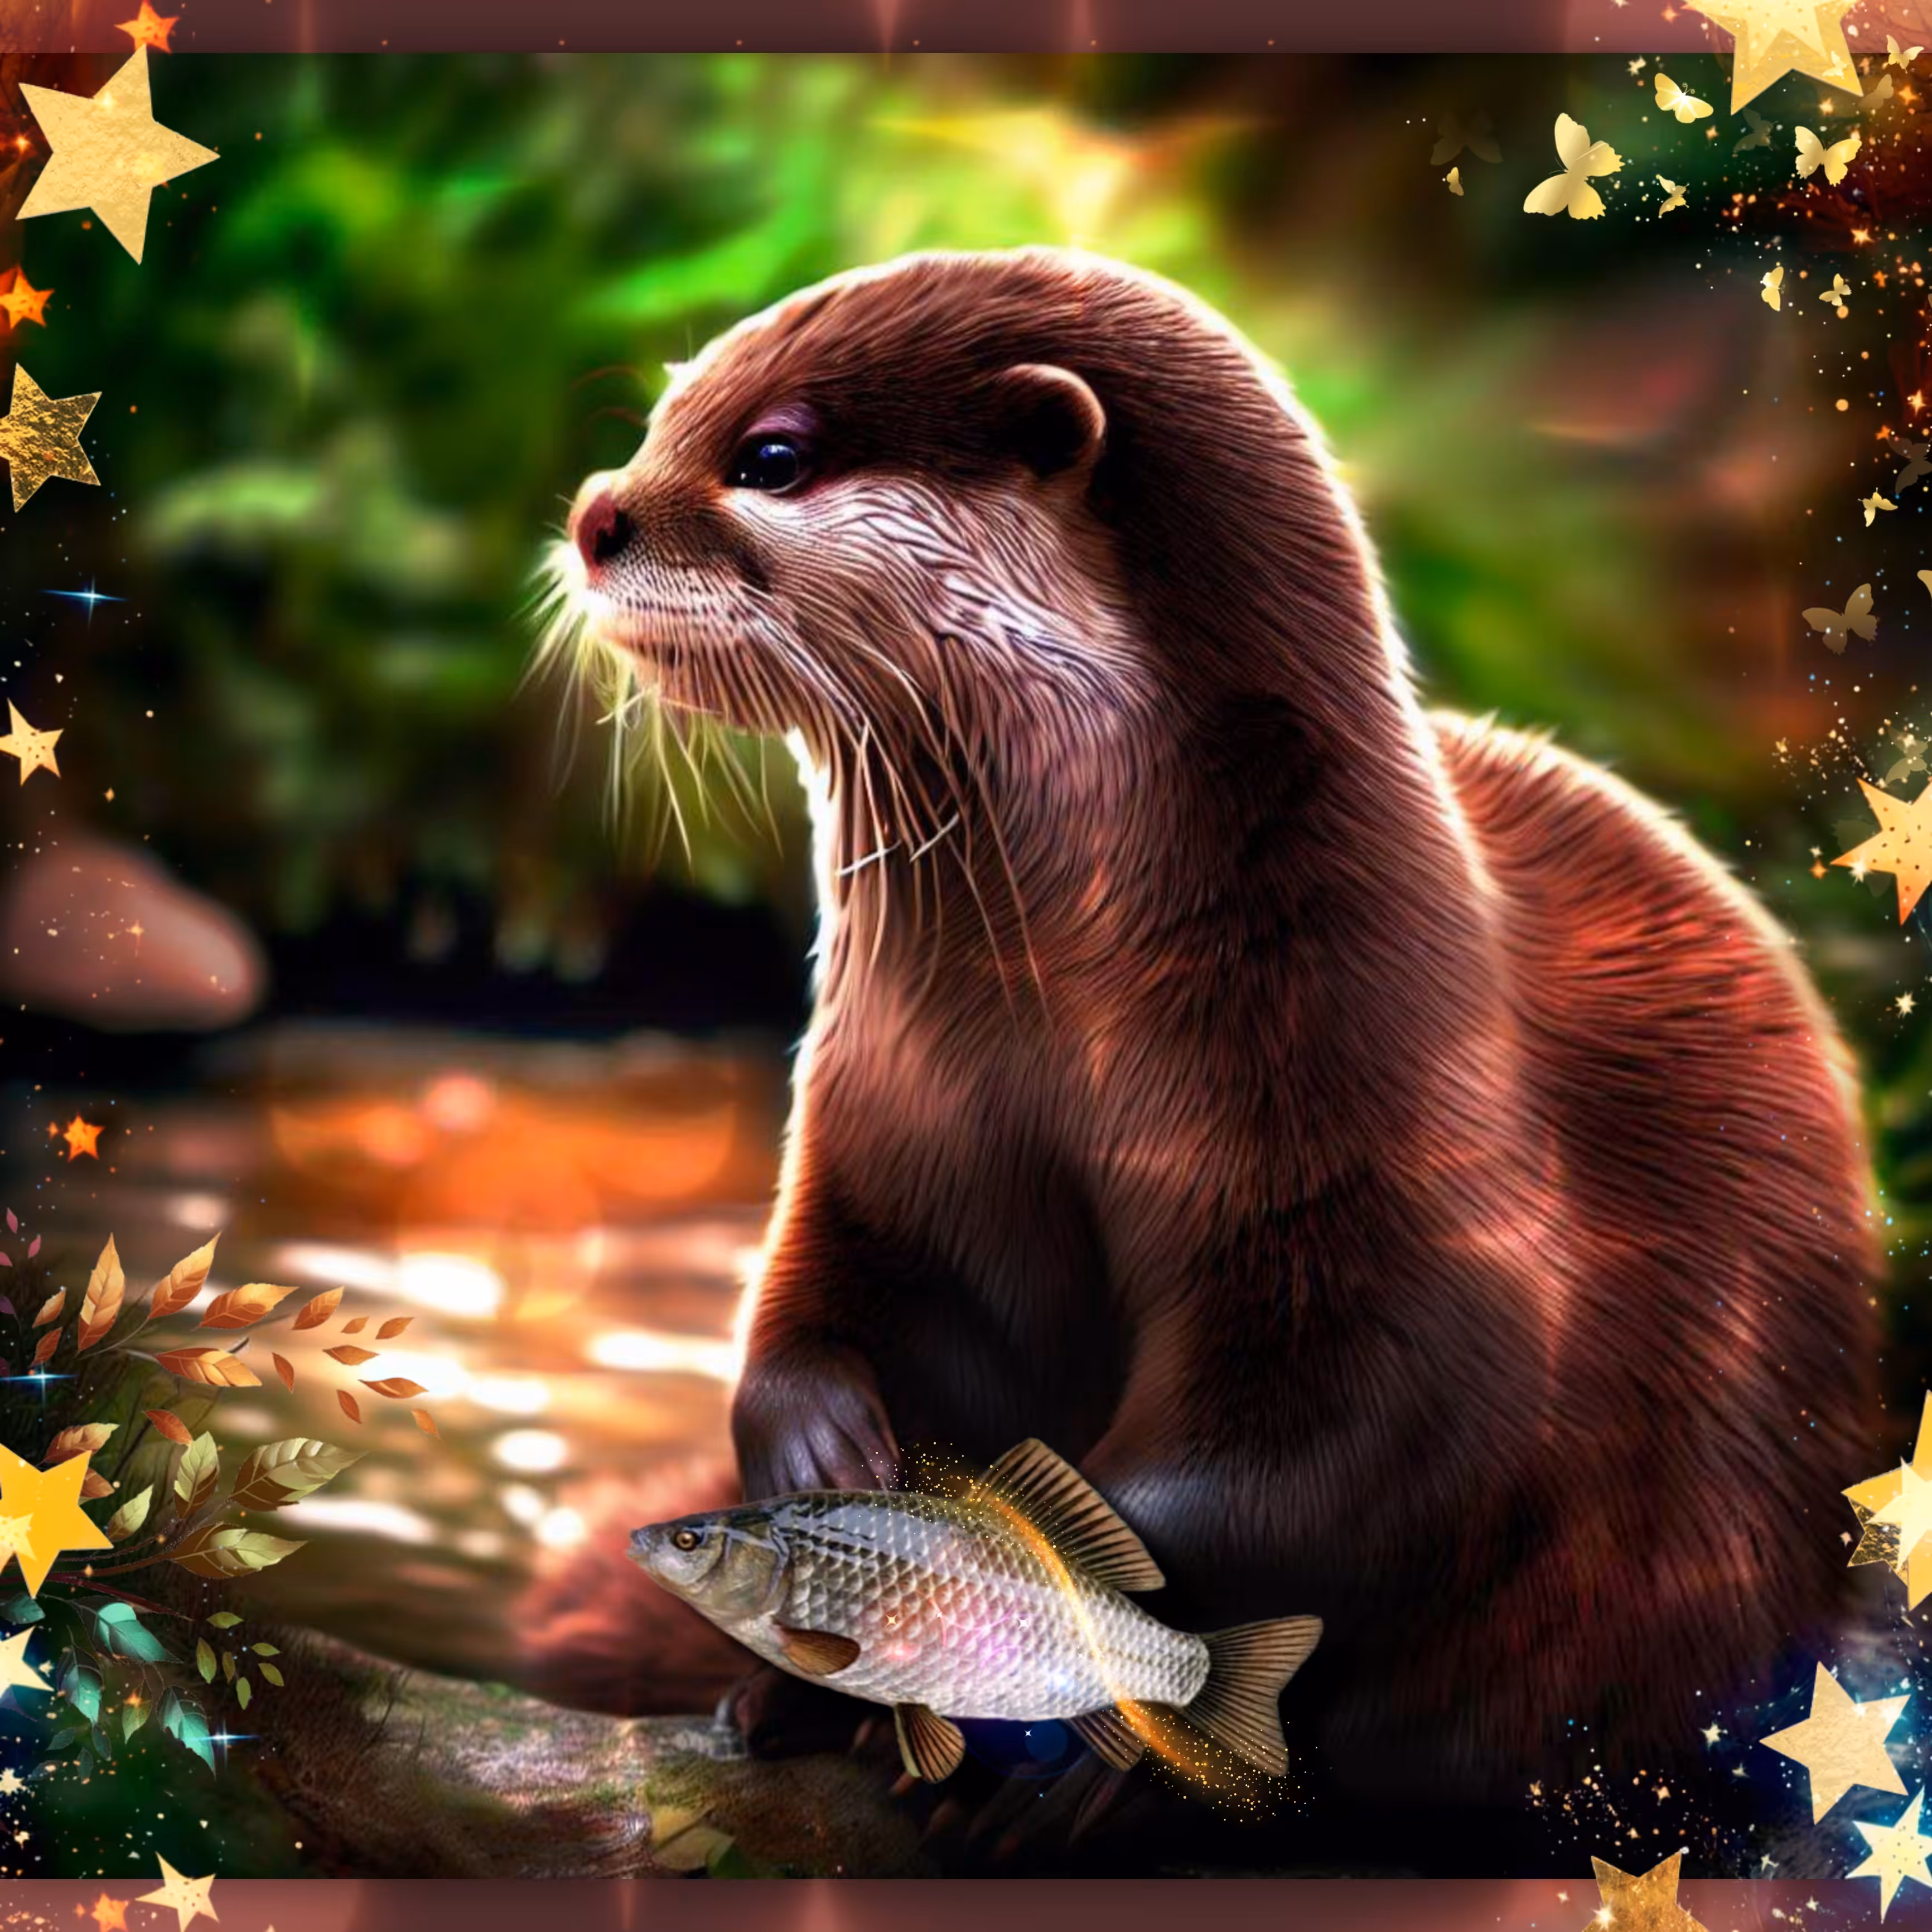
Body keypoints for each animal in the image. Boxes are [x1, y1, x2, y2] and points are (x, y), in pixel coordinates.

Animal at [545, 249, 1877, 1818]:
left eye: (769, 457)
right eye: (664, 411)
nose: (595, 510)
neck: (1062, 1021)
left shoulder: (1385, 1142)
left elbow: (1338, 1443)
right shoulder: (894, 1127)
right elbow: (841, 1293)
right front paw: (818, 1449)